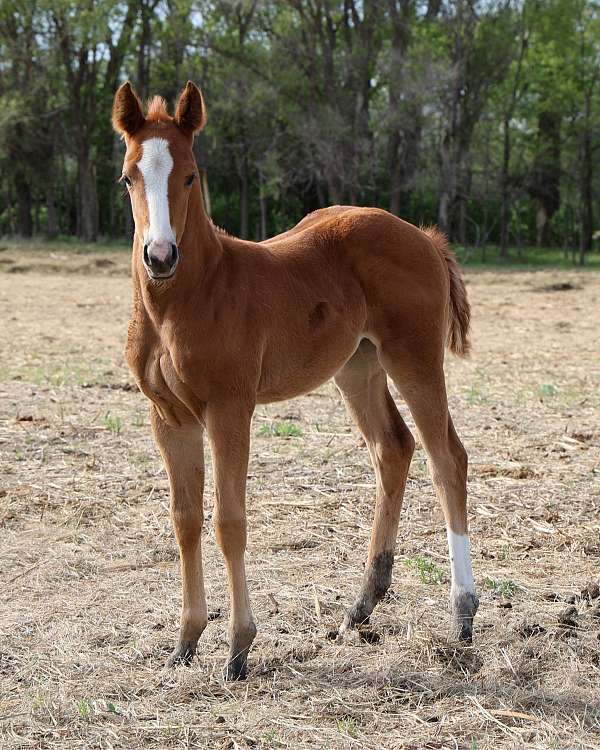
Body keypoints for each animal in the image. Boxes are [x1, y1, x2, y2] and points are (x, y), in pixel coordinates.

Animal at [112, 80, 478, 681]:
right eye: (128, 176)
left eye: (190, 175)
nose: (160, 256)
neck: (190, 296)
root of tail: (423, 236)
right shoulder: (169, 416)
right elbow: (185, 520)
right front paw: (185, 640)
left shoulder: (230, 408)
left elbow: (228, 521)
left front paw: (239, 647)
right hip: (358, 367)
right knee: (394, 448)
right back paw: (362, 604)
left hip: (415, 357)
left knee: (446, 457)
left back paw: (463, 613)